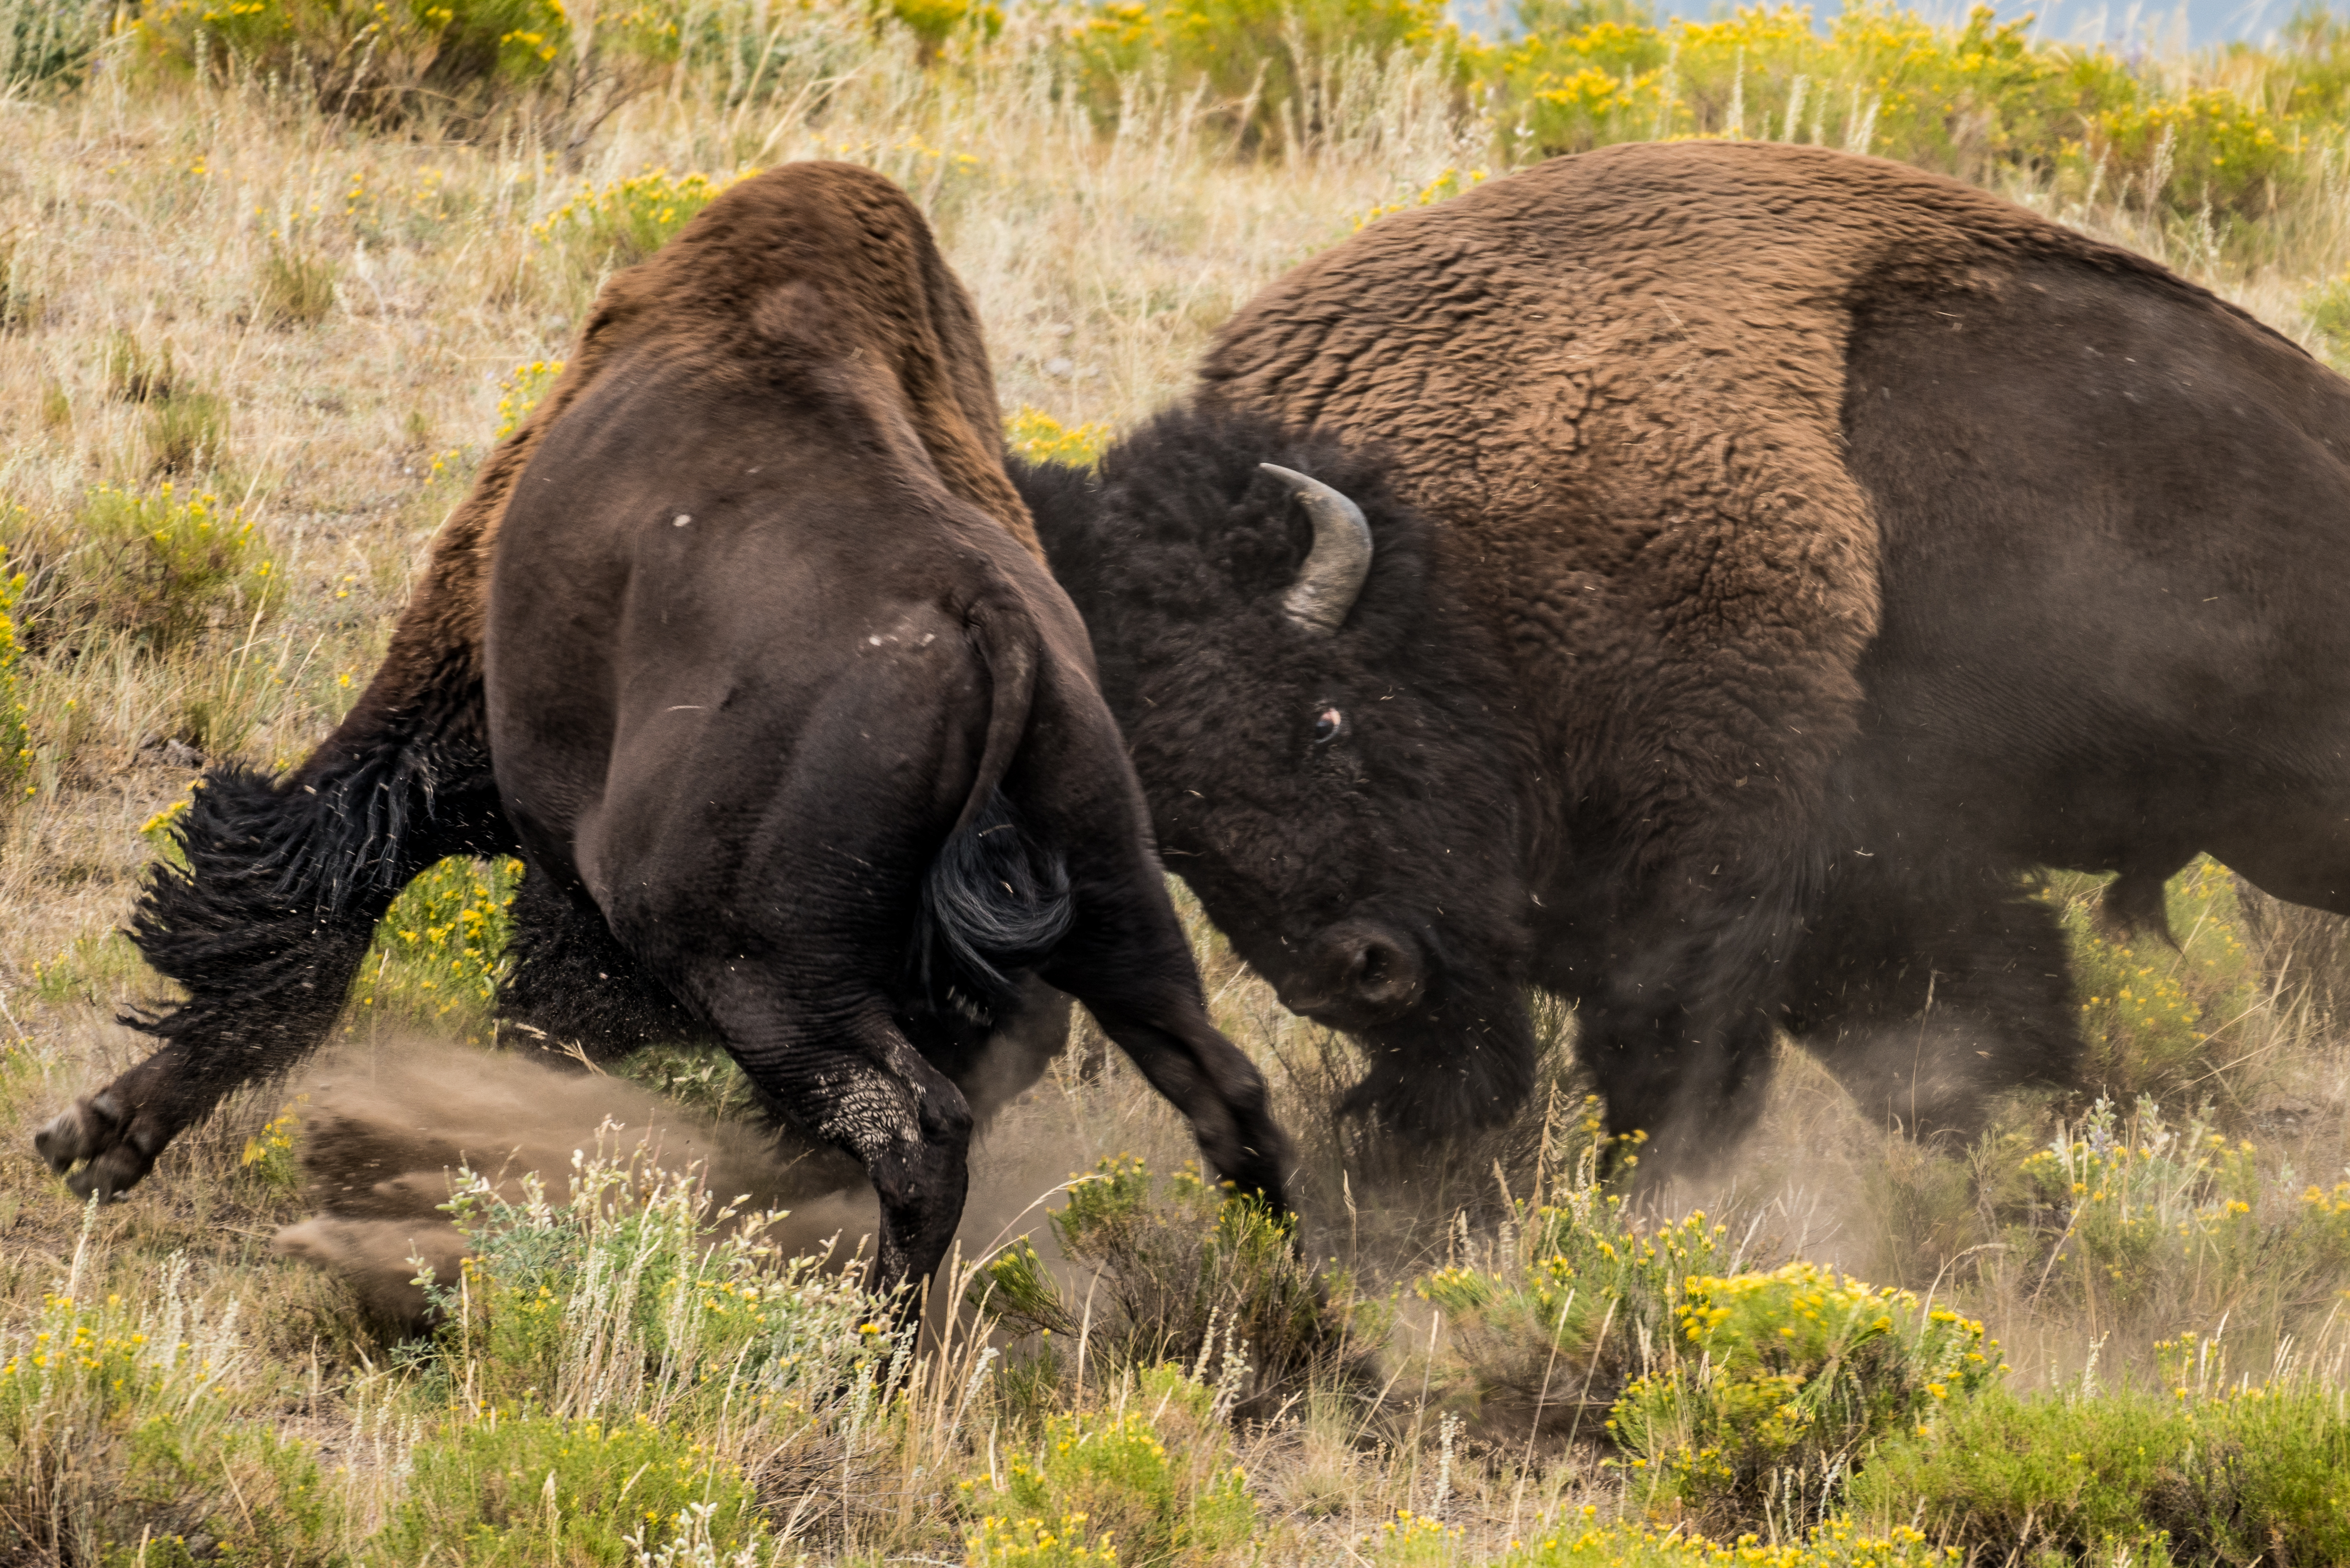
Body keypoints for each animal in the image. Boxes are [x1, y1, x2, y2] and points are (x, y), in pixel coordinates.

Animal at [1015, 141, 2350, 1170]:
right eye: (1178, 832)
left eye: (1326, 721)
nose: (1359, 973)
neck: (1458, 551)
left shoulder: (1727, 856)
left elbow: (1696, 1059)